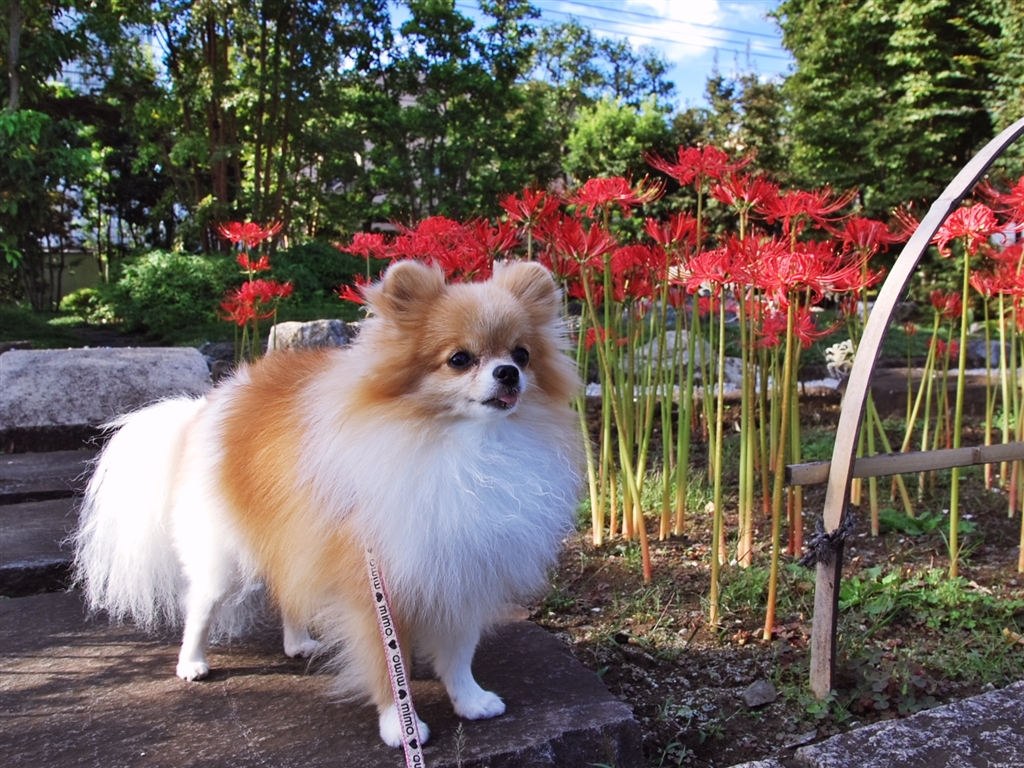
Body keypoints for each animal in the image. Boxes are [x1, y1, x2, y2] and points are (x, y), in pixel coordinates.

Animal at [73, 259, 584, 747]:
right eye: (459, 359)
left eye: (522, 354)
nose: (508, 373)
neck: (465, 447)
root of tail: (205, 407)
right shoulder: (372, 583)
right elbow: (386, 661)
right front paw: (400, 726)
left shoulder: (463, 573)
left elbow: (458, 652)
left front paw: (470, 700)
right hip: (223, 555)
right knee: (200, 604)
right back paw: (192, 662)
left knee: (287, 589)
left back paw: (298, 642)